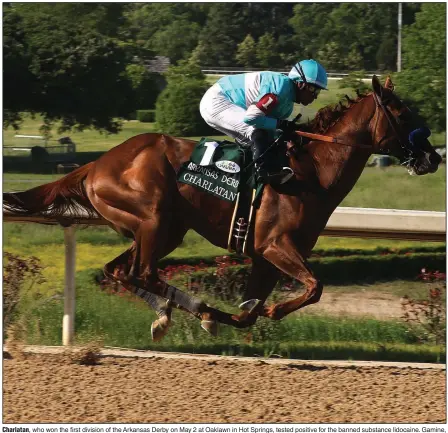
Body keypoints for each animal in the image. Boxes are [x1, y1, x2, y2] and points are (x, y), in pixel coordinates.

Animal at [4, 76, 440, 340]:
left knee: (121, 271)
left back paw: (170, 315)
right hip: (153, 217)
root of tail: (96, 164)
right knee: (141, 272)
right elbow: (314, 287)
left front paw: (229, 316)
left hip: (166, 228)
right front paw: (246, 313)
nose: (433, 158)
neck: (311, 170)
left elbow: (251, 312)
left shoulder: (266, 257)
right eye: (403, 114)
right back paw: (193, 308)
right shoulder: (274, 246)